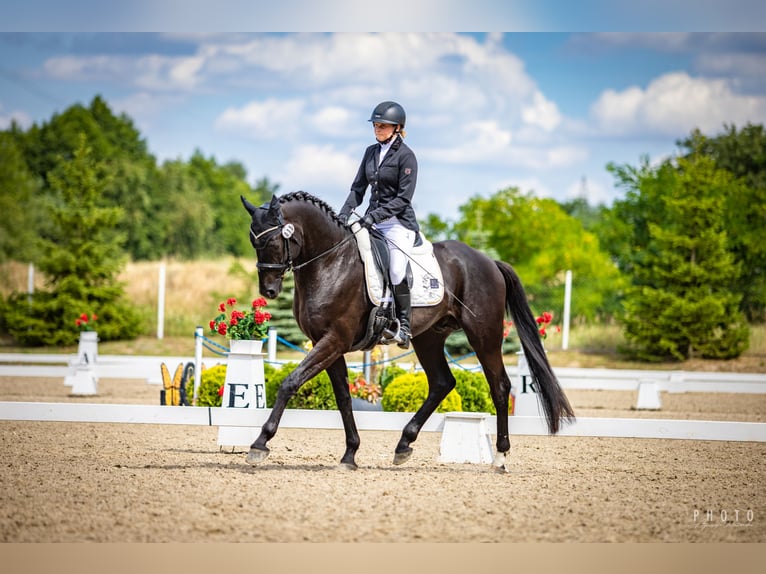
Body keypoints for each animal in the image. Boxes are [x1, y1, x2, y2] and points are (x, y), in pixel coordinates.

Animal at [243, 194, 572, 472]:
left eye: (273, 239)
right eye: (252, 240)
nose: (268, 291)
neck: (330, 262)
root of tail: (489, 261)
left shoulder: (334, 340)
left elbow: (290, 383)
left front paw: (260, 444)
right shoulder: (325, 342)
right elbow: (343, 398)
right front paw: (350, 454)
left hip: (484, 335)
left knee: (500, 386)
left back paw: (501, 457)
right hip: (429, 337)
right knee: (442, 382)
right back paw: (404, 444)